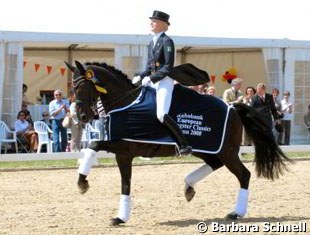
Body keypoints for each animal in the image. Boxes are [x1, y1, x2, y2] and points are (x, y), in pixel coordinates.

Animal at [66, 60, 290, 226]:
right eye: (73, 87)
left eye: (81, 86)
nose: (82, 116)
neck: (126, 103)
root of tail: (233, 107)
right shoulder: (123, 153)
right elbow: (122, 181)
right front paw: (119, 216)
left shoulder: (124, 147)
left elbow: (95, 146)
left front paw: (82, 184)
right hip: (208, 149)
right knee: (215, 164)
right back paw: (189, 186)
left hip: (228, 152)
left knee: (244, 175)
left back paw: (236, 213)